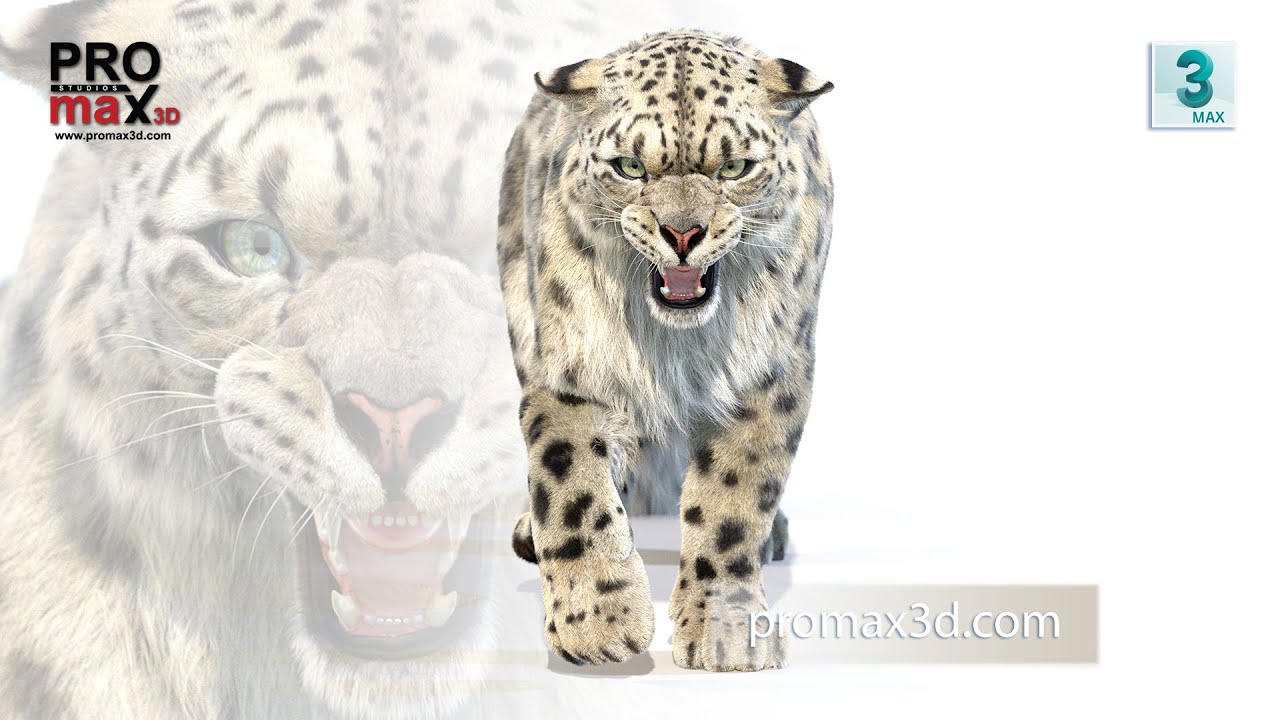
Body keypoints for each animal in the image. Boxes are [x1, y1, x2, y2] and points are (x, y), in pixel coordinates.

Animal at [498, 29, 835, 671]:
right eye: (630, 167)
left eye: (734, 167)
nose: (682, 234)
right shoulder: (572, 374)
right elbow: (573, 486)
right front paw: (598, 624)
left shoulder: (765, 377)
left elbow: (732, 501)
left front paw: (726, 630)